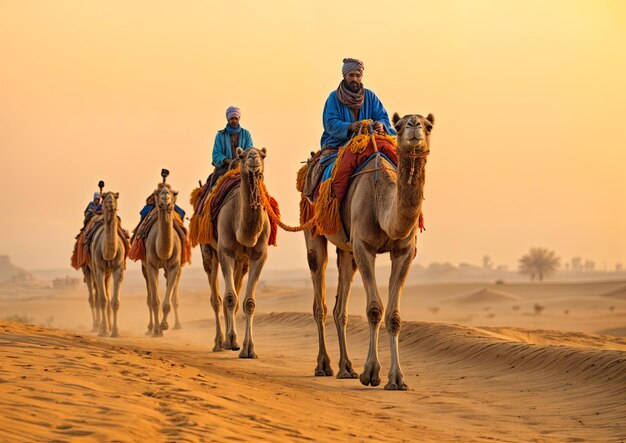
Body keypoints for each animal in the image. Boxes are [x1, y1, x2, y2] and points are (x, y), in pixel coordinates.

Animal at [88, 193, 127, 338]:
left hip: (108, 273)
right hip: (93, 269)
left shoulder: (118, 269)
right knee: (98, 296)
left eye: (116, 197)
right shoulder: (99, 270)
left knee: (108, 295)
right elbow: (103, 300)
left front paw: (115, 331)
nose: (110, 203)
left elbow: (114, 301)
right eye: (104, 197)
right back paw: (99, 327)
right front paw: (104, 331)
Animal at [140, 182, 182, 338]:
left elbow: (167, 302)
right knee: (150, 297)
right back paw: (150, 327)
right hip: (145, 267)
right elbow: (155, 302)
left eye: (173, 193)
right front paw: (157, 331)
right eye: (158, 193)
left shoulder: (174, 267)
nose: (165, 195)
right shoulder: (151, 266)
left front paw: (164, 325)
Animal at [200, 147, 268, 360]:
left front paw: (249, 349)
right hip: (209, 252)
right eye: (242, 155)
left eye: (262, 155)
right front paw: (231, 341)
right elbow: (229, 298)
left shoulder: (259, 255)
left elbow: (248, 302)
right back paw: (219, 343)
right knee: (216, 298)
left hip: (242, 261)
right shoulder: (225, 252)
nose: (253, 158)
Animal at [304, 112, 434, 390]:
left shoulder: (404, 251)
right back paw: (324, 365)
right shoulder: (364, 247)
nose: (414, 125)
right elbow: (374, 310)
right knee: (320, 298)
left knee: (339, 307)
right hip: (313, 229)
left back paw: (346, 368)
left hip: (347, 250)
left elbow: (394, 315)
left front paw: (397, 379)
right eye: (399, 125)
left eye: (428, 125)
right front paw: (371, 373)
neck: (381, 202)